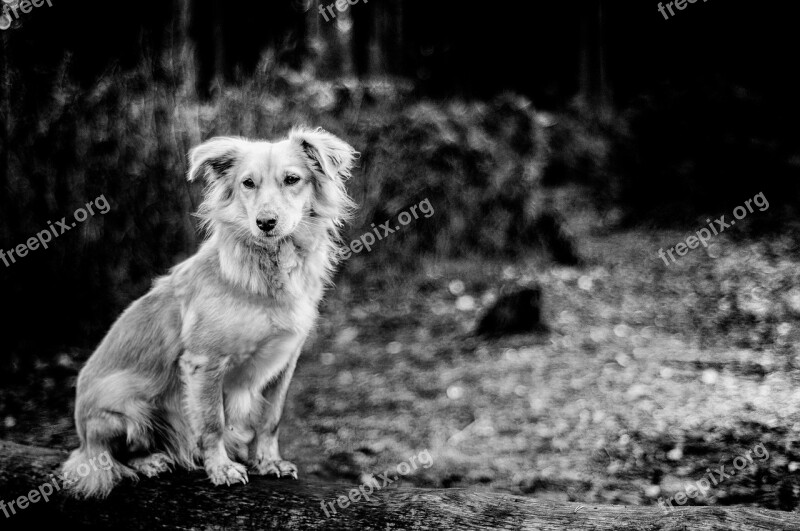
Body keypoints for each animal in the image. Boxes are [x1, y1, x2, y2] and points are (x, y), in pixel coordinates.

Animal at [59, 127, 354, 496]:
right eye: (248, 183)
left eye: (292, 179)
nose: (265, 222)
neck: (268, 268)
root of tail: (83, 438)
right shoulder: (205, 363)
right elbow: (213, 422)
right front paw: (221, 468)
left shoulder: (284, 362)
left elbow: (270, 420)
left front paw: (268, 461)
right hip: (126, 405)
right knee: (107, 456)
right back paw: (150, 461)